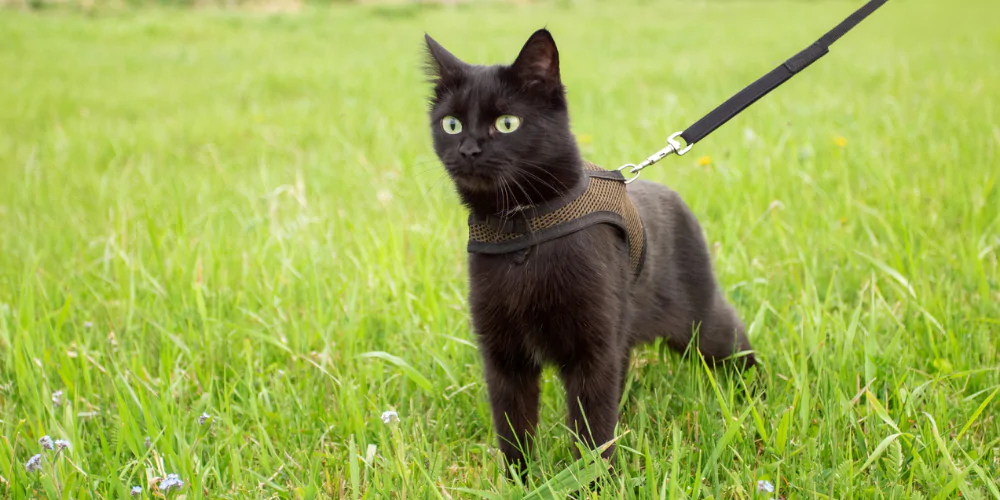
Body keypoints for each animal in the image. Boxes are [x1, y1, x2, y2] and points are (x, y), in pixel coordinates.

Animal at [422, 29, 756, 478]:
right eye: (451, 124)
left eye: (507, 124)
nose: (469, 150)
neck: (524, 229)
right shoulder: (503, 354)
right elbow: (513, 425)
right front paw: (518, 480)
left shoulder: (592, 350)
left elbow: (593, 428)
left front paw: (594, 481)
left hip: (701, 323)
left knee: (734, 341)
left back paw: (760, 396)